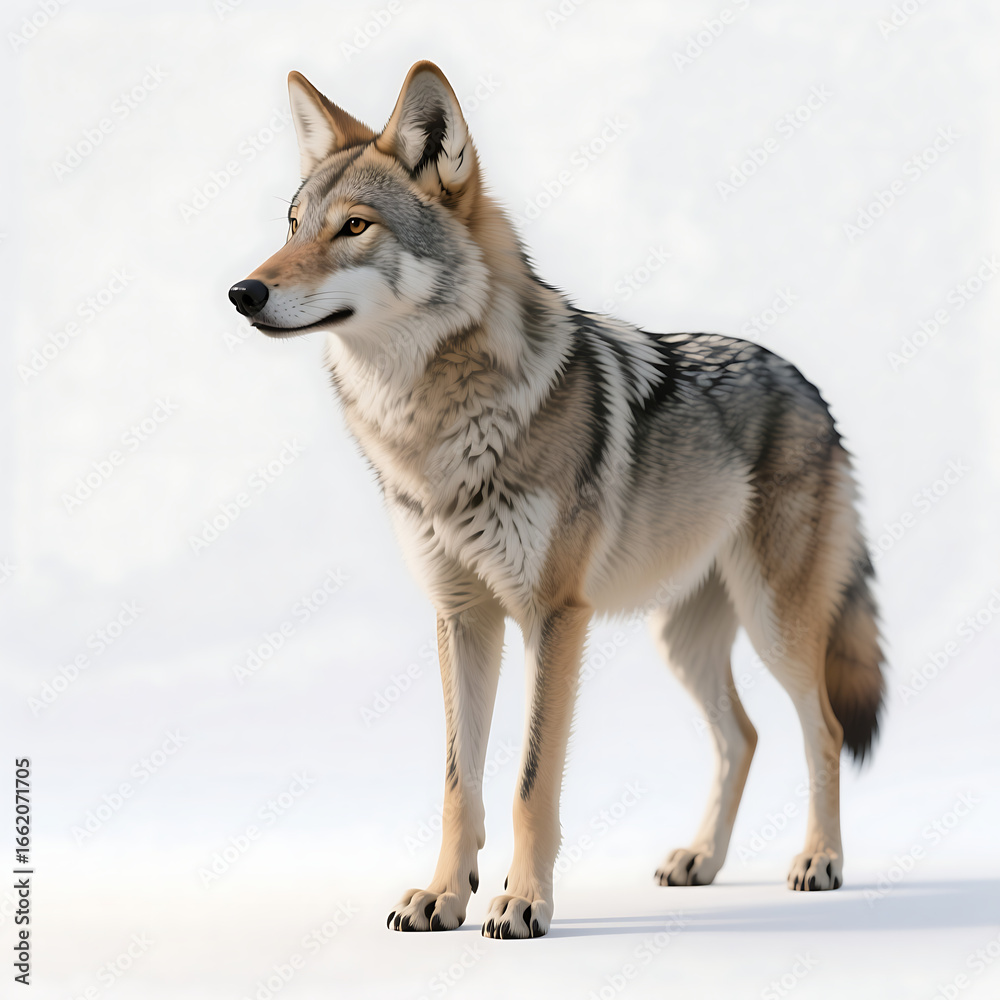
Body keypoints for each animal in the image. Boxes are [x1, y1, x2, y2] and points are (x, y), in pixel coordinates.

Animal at [228, 61, 884, 939]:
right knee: (742, 736)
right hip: (682, 639)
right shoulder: (461, 617)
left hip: (776, 625)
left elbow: (530, 781)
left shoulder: (553, 616)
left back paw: (820, 861)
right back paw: (700, 861)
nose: (243, 292)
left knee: (826, 729)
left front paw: (523, 902)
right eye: (294, 224)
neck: (432, 424)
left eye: (354, 227)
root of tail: (807, 384)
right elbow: (458, 781)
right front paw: (444, 896)